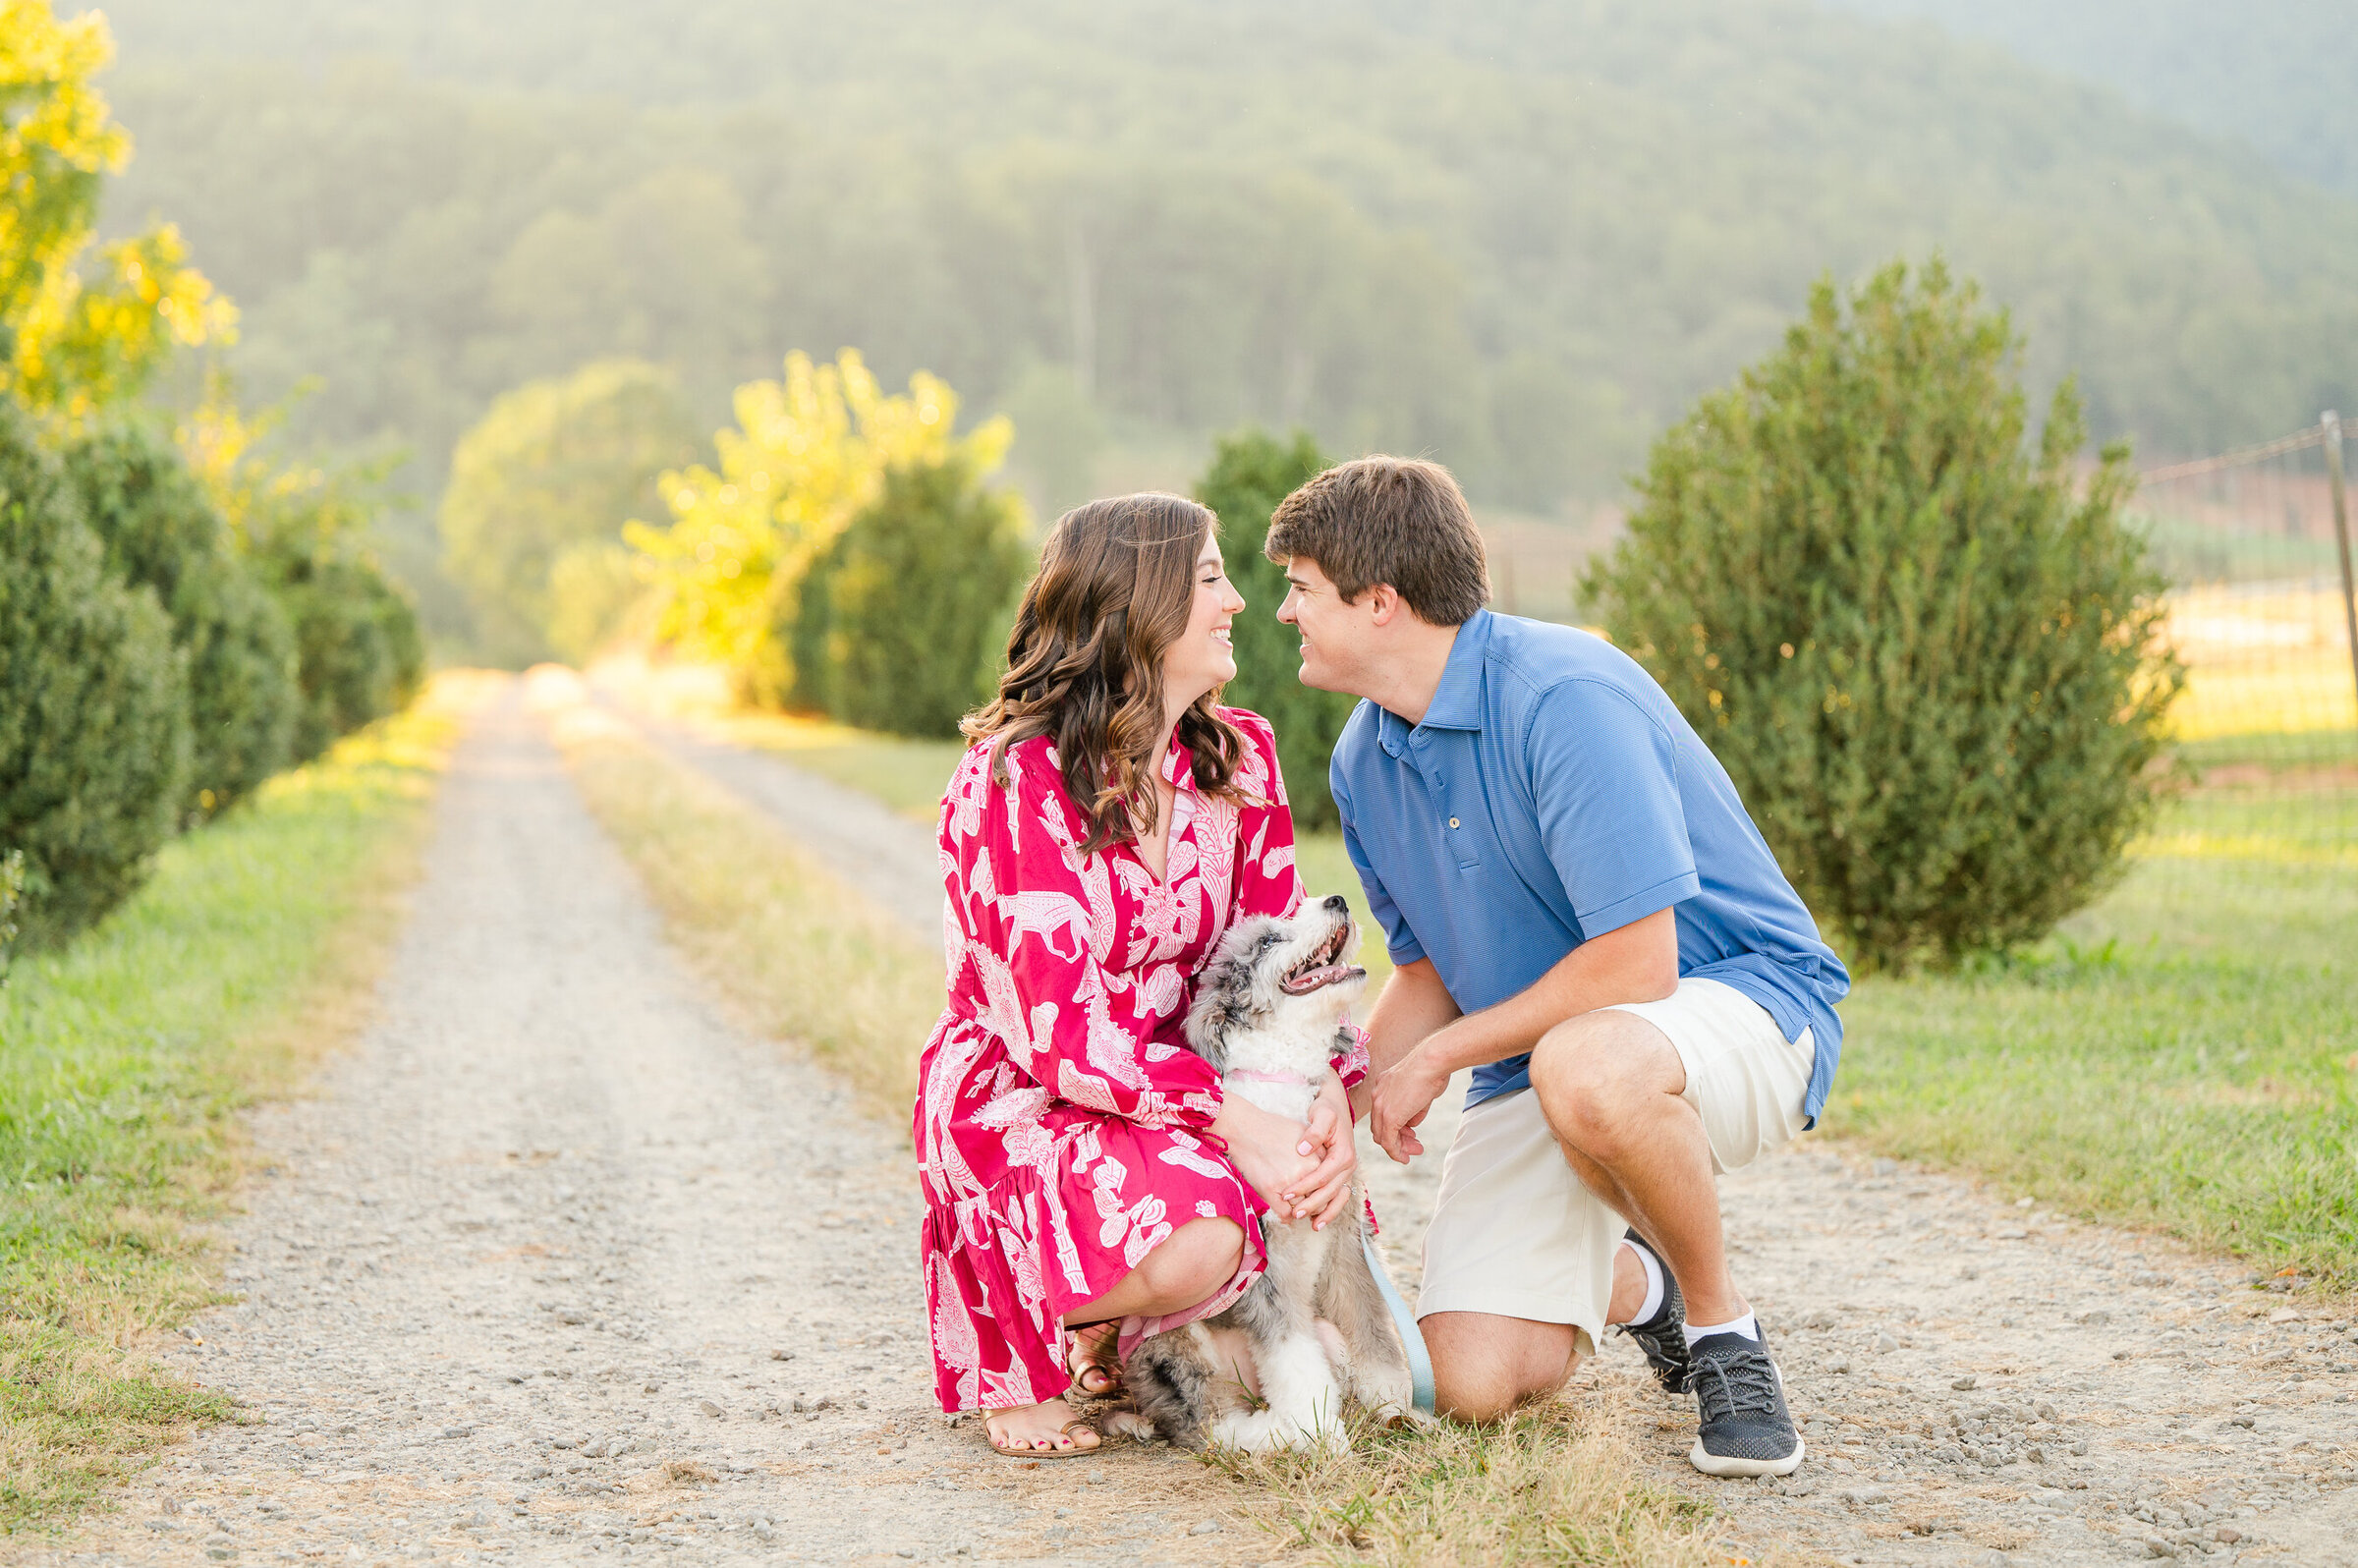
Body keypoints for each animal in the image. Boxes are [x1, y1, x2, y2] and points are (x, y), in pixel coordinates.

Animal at [1103, 891, 1415, 1452]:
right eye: (1269, 941)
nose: (1338, 899)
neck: (1284, 1080)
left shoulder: (1347, 1244)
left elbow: (1373, 1330)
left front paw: (1395, 1405)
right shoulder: (1266, 1268)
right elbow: (1295, 1362)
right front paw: (1323, 1436)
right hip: (1178, 1348)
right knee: (1212, 1426)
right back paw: (1276, 1431)